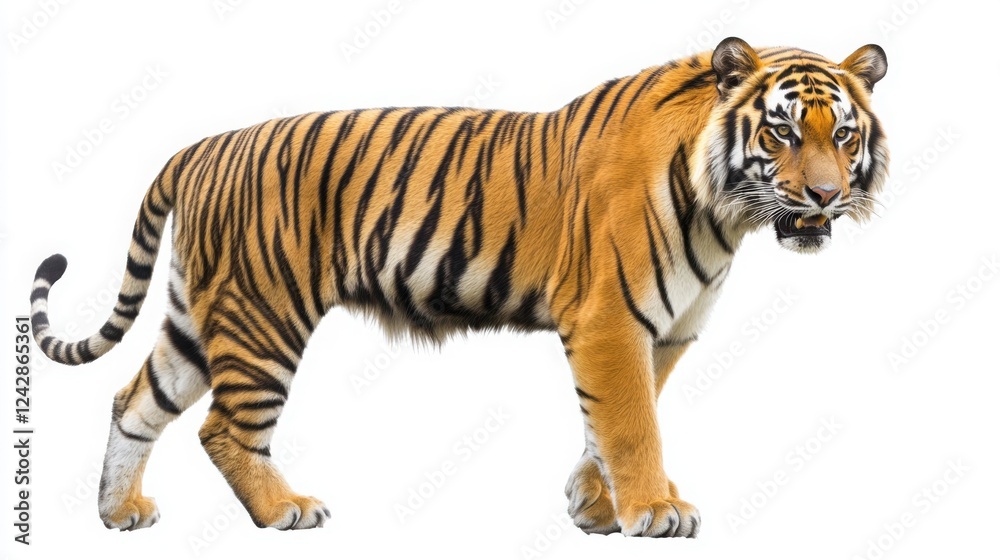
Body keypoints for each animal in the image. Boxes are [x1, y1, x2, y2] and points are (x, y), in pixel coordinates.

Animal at [29, 37, 888, 537]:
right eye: (782, 131)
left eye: (843, 134)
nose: (824, 197)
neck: (724, 213)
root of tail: (203, 145)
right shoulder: (612, 319)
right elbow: (632, 422)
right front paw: (653, 510)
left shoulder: (665, 330)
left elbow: (610, 421)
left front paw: (595, 506)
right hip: (261, 315)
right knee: (222, 429)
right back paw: (286, 511)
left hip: (198, 317)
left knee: (133, 402)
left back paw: (118, 513)